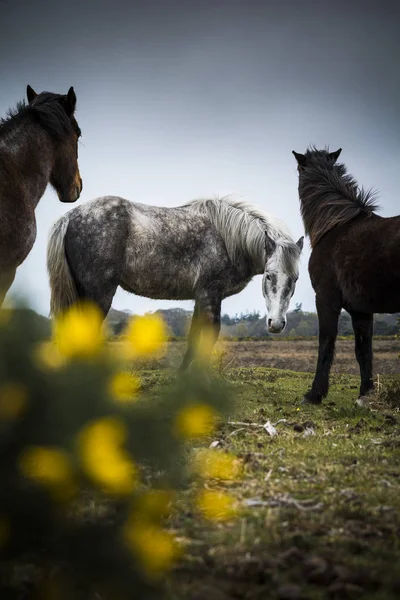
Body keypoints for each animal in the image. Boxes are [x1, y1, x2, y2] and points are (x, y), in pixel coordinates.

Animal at [47, 195, 304, 368]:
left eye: (295, 279)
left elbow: (193, 336)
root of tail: (70, 216)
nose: (276, 324)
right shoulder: (211, 294)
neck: (228, 239)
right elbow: (210, 334)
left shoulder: (201, 297)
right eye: (269, 275)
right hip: (98, 295)